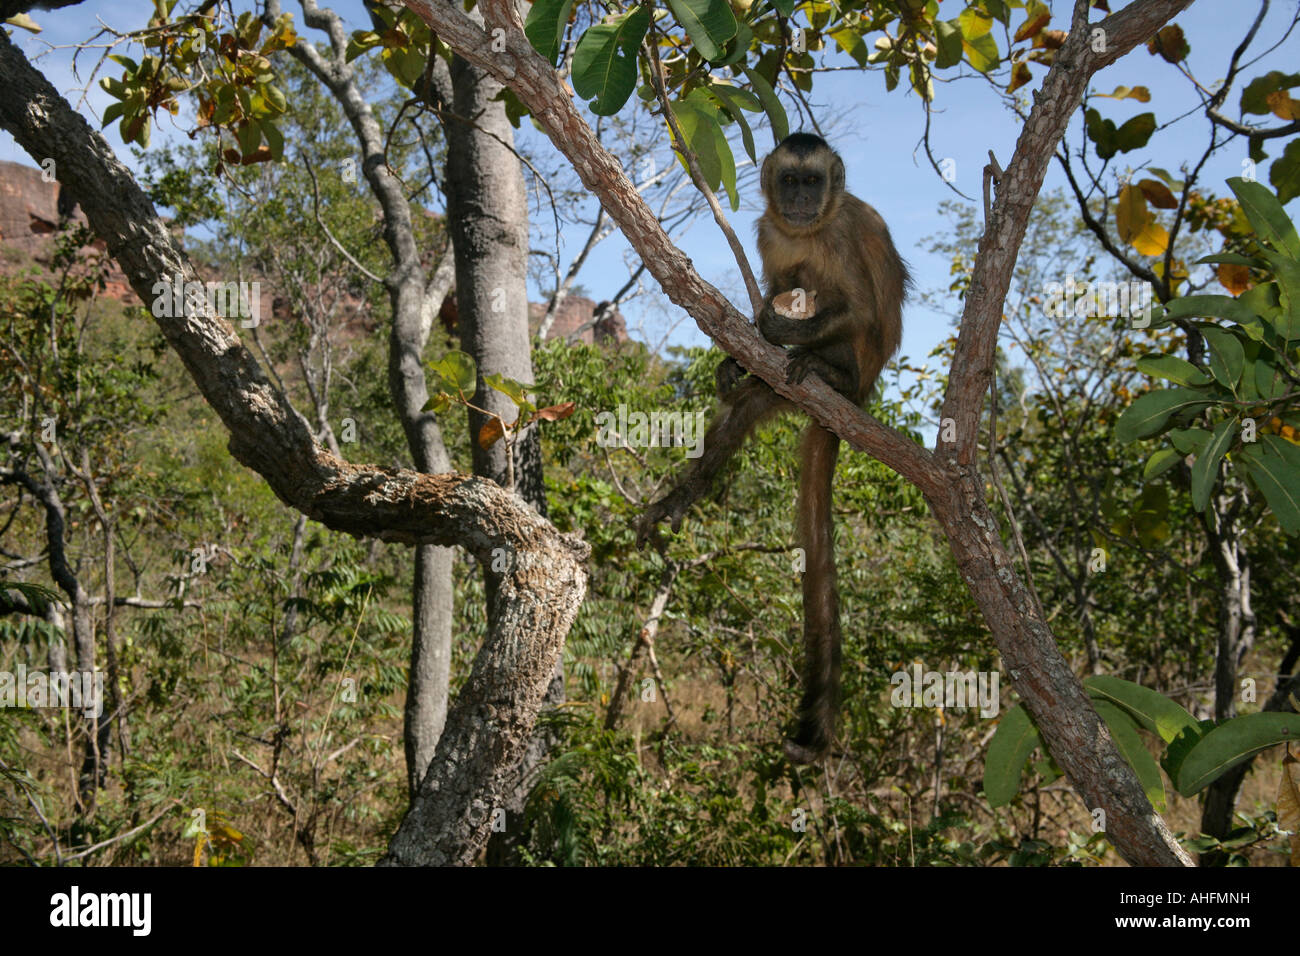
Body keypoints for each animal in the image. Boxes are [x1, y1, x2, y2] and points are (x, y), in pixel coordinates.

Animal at [634, 132, 909, 764]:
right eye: (790, 182)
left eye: (814, 183)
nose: (803, 201)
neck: (806, 231)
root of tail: (861, 397)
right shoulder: (767, 233)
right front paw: (735, 358)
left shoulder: (837, 233)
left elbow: (858, 307)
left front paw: (781, 330)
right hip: (779, 393)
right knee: (746, 407)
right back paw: (683, 496)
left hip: (859, 372)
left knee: (842, 321)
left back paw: (827, 372)